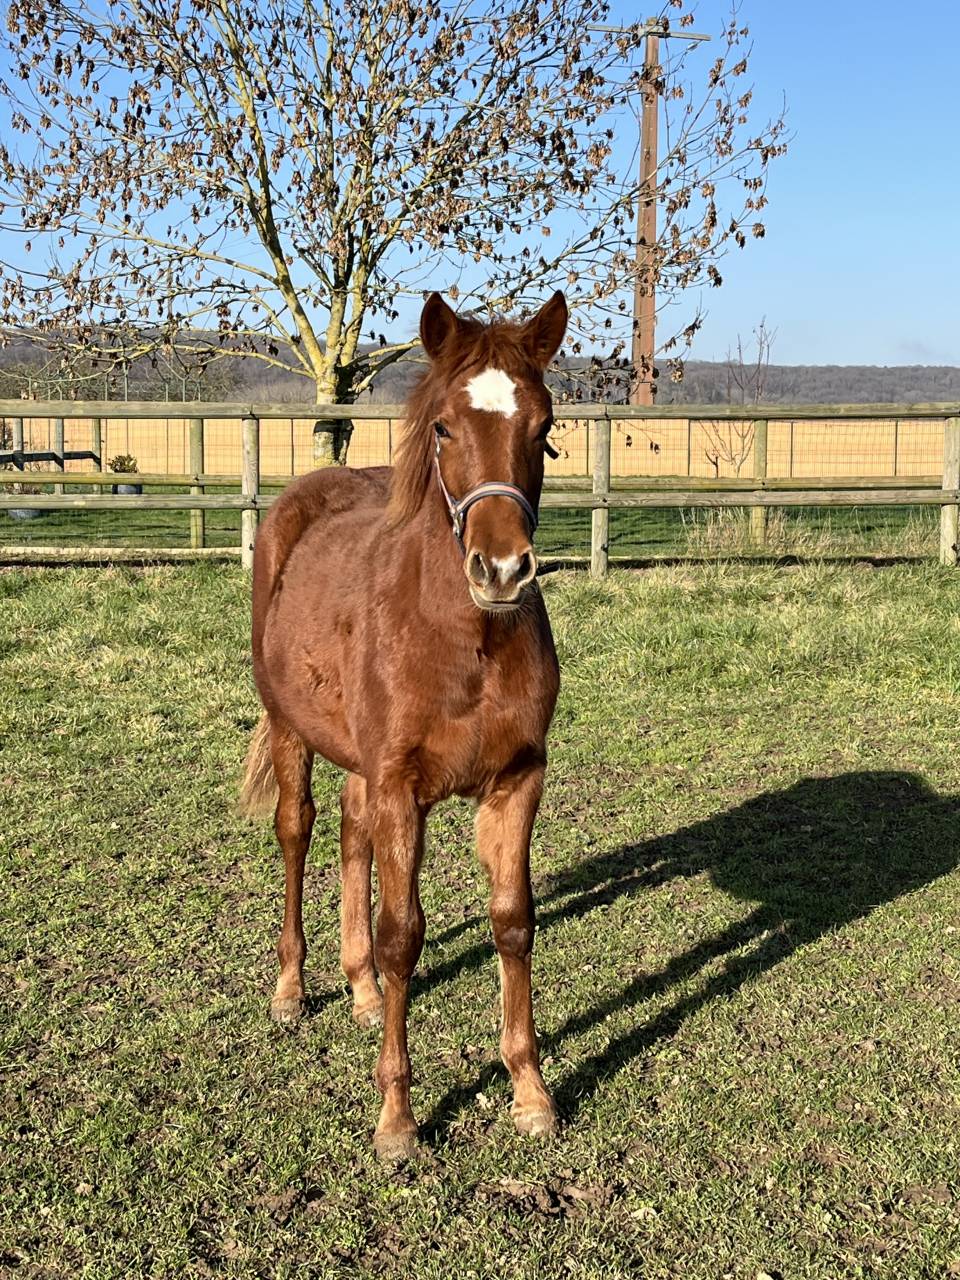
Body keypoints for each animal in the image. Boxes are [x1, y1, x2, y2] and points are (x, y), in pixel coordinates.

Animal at [239, 291, 568, 1159]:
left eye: (543, 427)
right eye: (445, 427)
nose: (502, 570)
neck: (465, 641)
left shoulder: (517, 779)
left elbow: (513, 922)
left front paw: (530, 1092)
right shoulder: (400, 788)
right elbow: (404, 937)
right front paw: (397, 1120)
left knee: (350, 830)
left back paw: (357, 989)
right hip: (291, 729)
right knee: (299, 831)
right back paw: (293, 990)